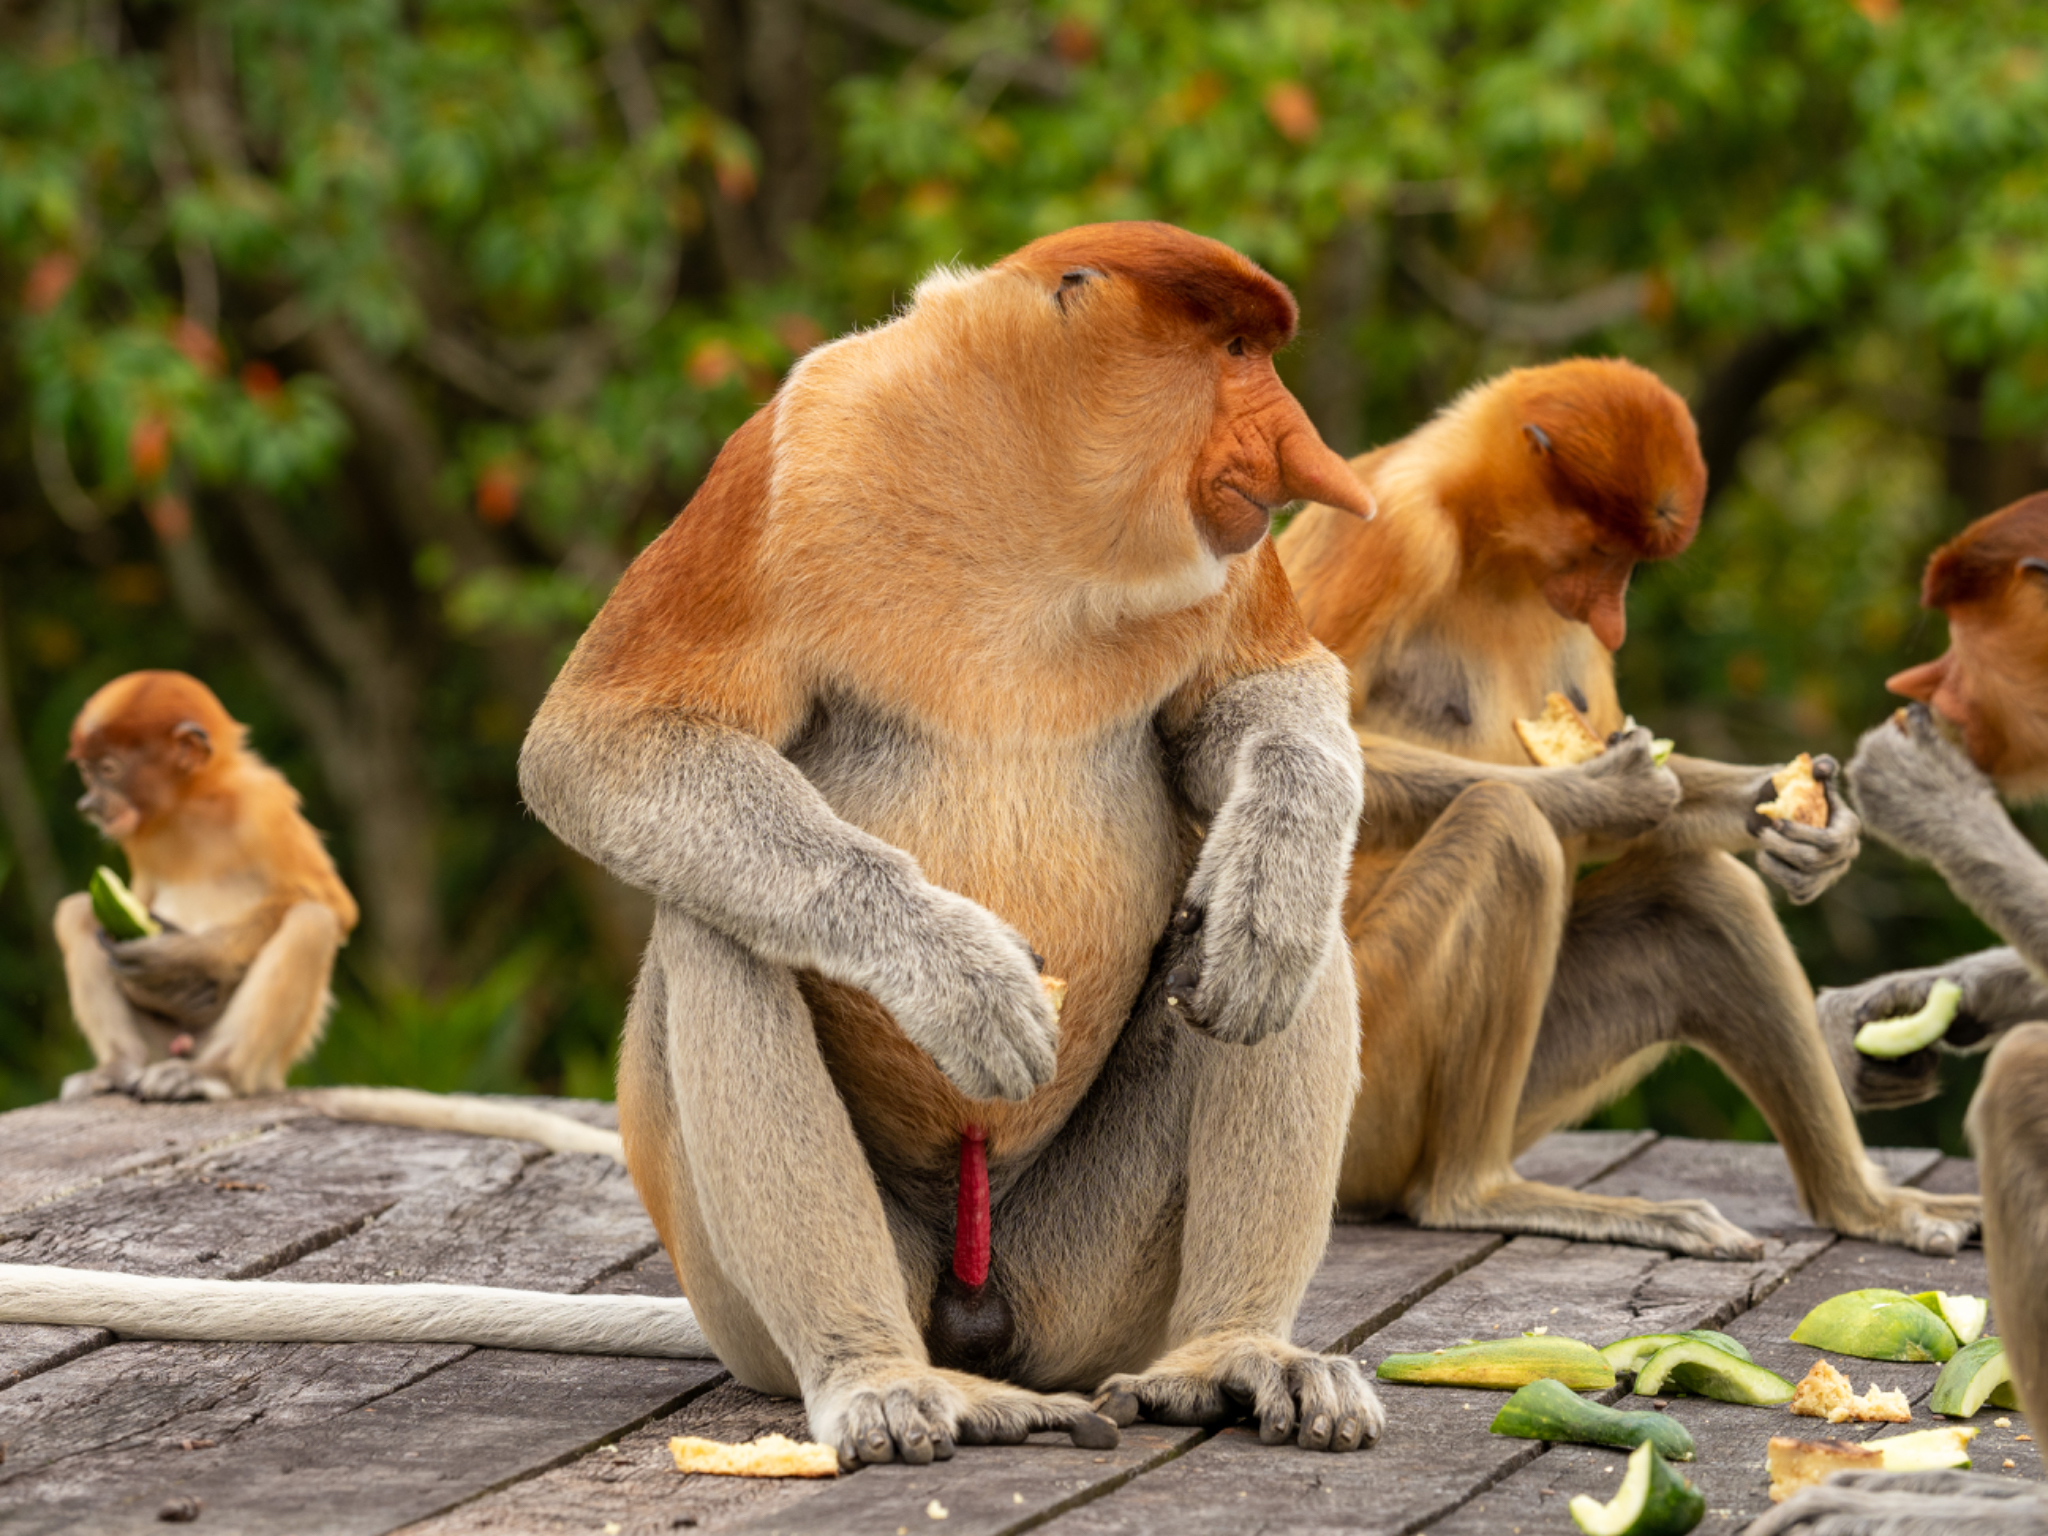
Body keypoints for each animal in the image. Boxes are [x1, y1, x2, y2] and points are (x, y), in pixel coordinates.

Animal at [53, 670, 359, 1102]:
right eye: (86, 770)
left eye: (109, 769)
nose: (89, 805)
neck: (189, 804)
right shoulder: (138, 837)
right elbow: (129, 902)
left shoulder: (263, 804)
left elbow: (332, 903)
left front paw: (178, 958)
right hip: (158, 1043)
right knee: (77, 910)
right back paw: (117, 1066)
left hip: (266, 1059)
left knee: (312, 921)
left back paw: (213, 1072)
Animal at [1274, 358, 1978, 1260]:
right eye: (1606, 552)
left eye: (1631, 565)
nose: (1611, 619)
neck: (1482, 544)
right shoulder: (1391, 537)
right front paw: (1604, 789)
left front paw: (1814, 830)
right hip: (1362, 1079)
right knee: (1507, 828)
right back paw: (1477, 1193)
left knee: (1700, 900)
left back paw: (1870, 1207)